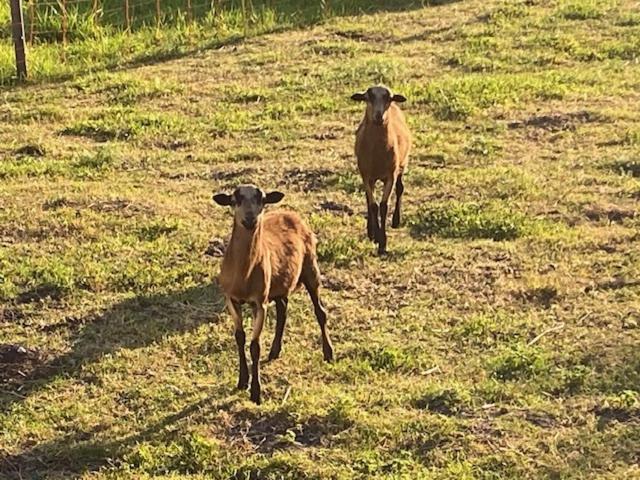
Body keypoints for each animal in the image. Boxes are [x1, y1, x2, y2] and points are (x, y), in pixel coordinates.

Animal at [215, 186, 336, 404]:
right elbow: (240, 337)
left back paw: (328, 353)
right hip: (281, 283)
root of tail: (290, 213)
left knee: (320, 312)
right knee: (283, 311)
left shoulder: (259, 302)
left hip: (310, 269)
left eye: (262, 200)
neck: (244, 274)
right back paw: (275, 351)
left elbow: (255, 346)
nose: (250, 219)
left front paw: (256, 392)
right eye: (234, 200)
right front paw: (242, 381)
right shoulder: (231, 299)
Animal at [352, 85, 412, 255]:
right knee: (368, 198)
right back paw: (371, 231)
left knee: (400, 188)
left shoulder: (390, 176)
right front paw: (376, 236)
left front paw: (383, 244)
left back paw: (396, 221)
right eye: (368, 98)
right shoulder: (367, 176)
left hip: (402, 165)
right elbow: (373, 205)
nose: (379, 116)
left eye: (388, 98)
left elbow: (384, 206)